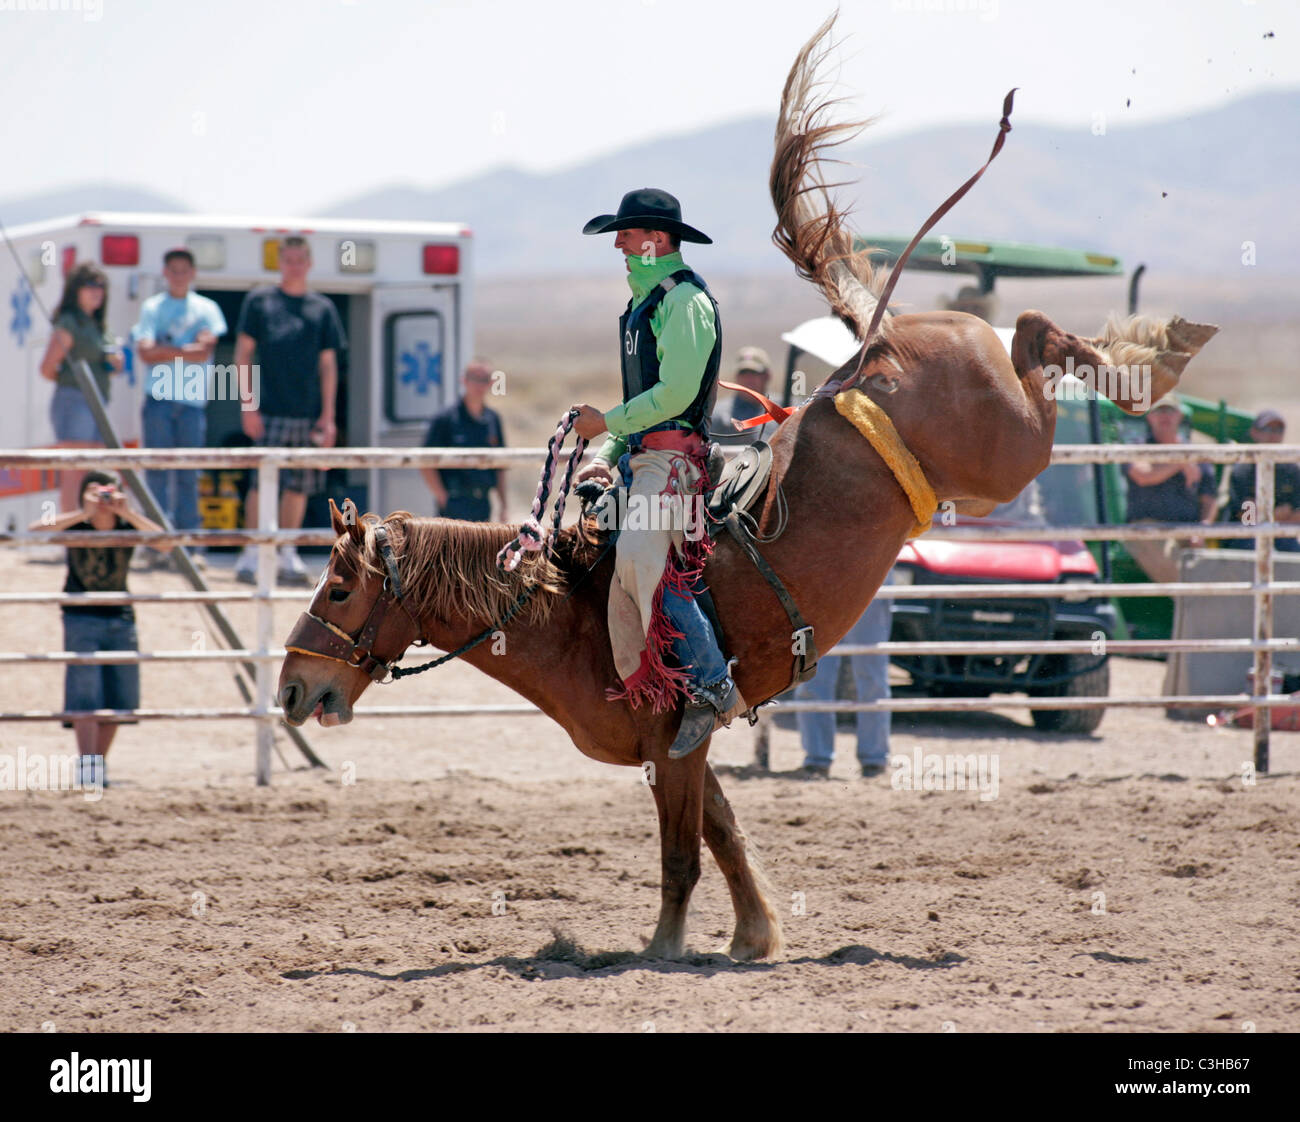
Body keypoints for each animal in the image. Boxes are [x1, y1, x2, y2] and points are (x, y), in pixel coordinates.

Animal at [274, 15, 1216, 967]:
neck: (568, 609)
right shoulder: (682, 754)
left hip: (1005, 450)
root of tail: (876, 348)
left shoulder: (673, 740)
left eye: (340, 587)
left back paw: (1156, 352)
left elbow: (685, 853)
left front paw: (665, 945)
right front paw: (756, 933)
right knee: (1032, 335)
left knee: (1036, 333)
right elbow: (726, 835)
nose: (289, 691)